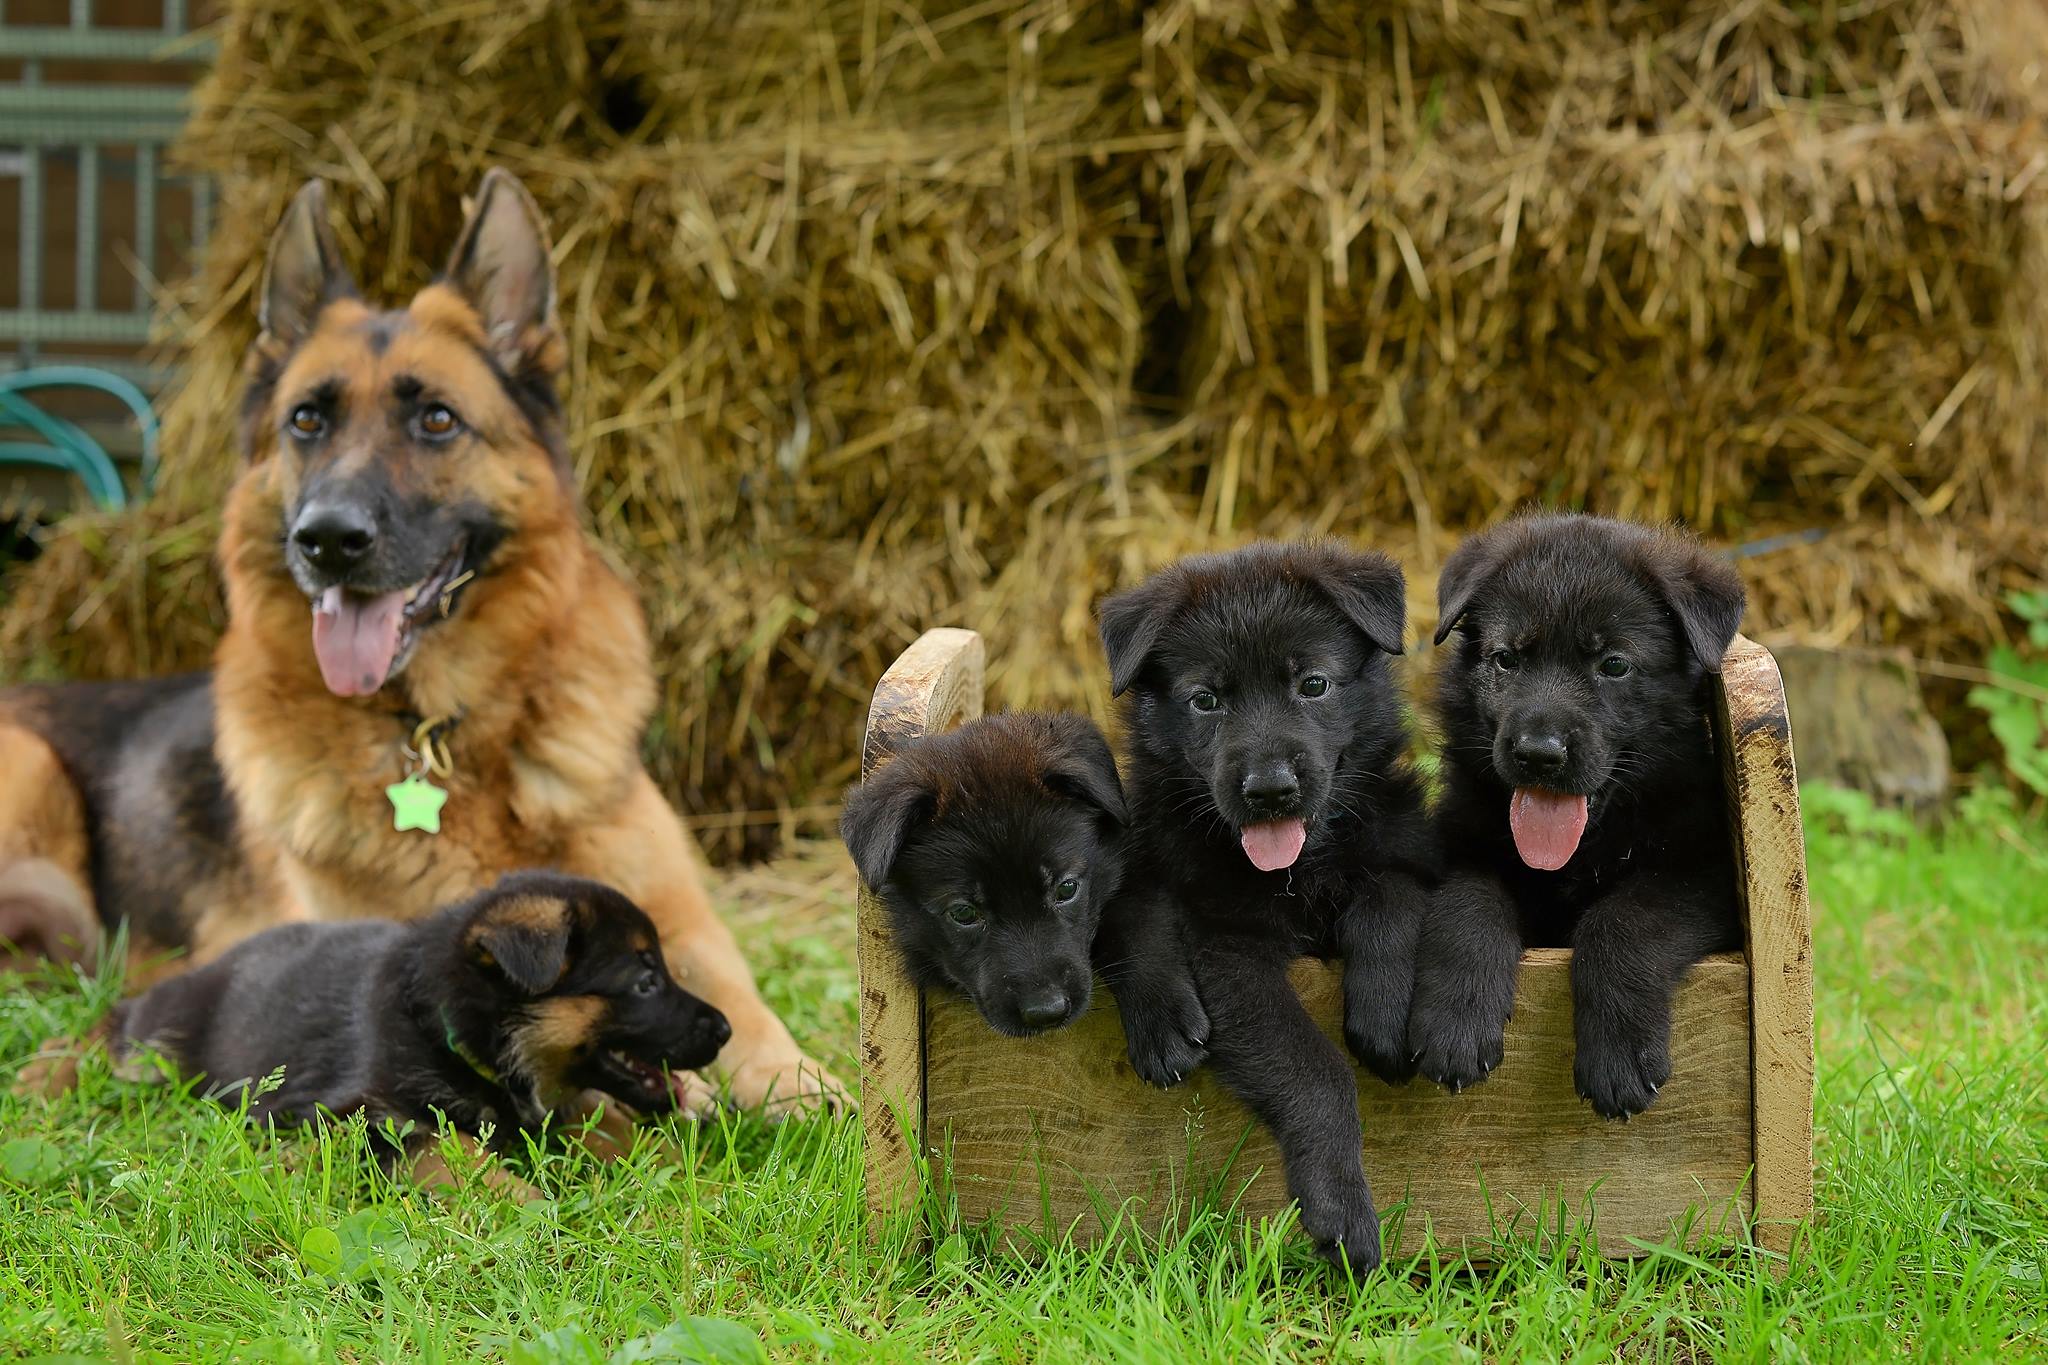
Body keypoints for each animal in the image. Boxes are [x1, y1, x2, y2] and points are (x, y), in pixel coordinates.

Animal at [0, 173, 839, 1121]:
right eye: (306, 420)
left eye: (438, 419)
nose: (327, 538)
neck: (444, 736)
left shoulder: (687, 923)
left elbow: (756, 1021)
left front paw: (804, 1086)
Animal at [105, 875, 729, 1186]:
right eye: (646, 982)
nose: (725, 1031)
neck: (447, 1028)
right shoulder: (365, 1116)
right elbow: (459, 1154)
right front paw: (532, 1211)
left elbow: (612, 1128)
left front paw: (699, 1185)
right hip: (154, 1045)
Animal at [1097, 540, 1433, 1268]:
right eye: (1205, 700)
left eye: (1314, 684)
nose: (1271, 789)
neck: (1295, 870)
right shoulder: (1226, 947)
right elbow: (1314, 1070)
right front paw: (1341, 1208)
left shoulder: (1404, 850)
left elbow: (1390, 892)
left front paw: (1384, 1008)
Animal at [1409, 511, 1744, 1121]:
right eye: (1506, 658)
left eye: (1613, 665)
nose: (1539, 754)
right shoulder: (1456, 847)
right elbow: (1469, 901)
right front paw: (1455, 1020)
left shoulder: (1700, 873)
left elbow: (1623, 918)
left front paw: (1619, 1055)